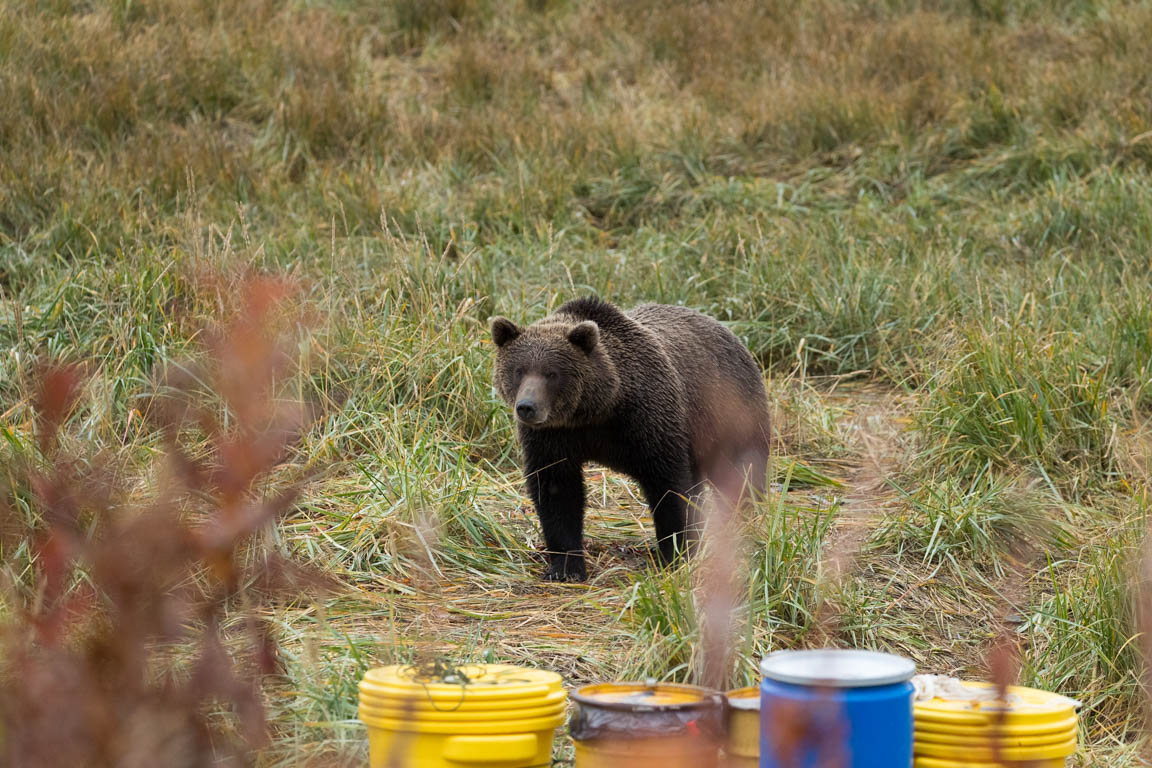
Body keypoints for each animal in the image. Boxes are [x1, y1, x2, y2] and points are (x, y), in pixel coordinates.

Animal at [488, 297, 769, 580]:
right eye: (518, 370)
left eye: (551, 373)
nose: (527, 407)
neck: (598, 410)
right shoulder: (554, 437)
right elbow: (557, 491)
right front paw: (565, 567)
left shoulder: (647, 422)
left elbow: (669, 486)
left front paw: (674, 555)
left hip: (729, 413)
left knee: (741, 470)